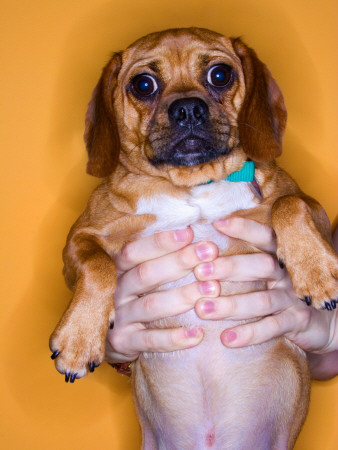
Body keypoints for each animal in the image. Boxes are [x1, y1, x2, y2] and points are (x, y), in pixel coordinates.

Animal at [50, 29, 338, 450]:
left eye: (220, 75)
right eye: (143, 84)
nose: (188, 108)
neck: (192, 186)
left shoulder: (314, 210)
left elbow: (289, 203)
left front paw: (315, 273)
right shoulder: (80, 240)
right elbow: (98, 264)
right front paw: (78, 337)